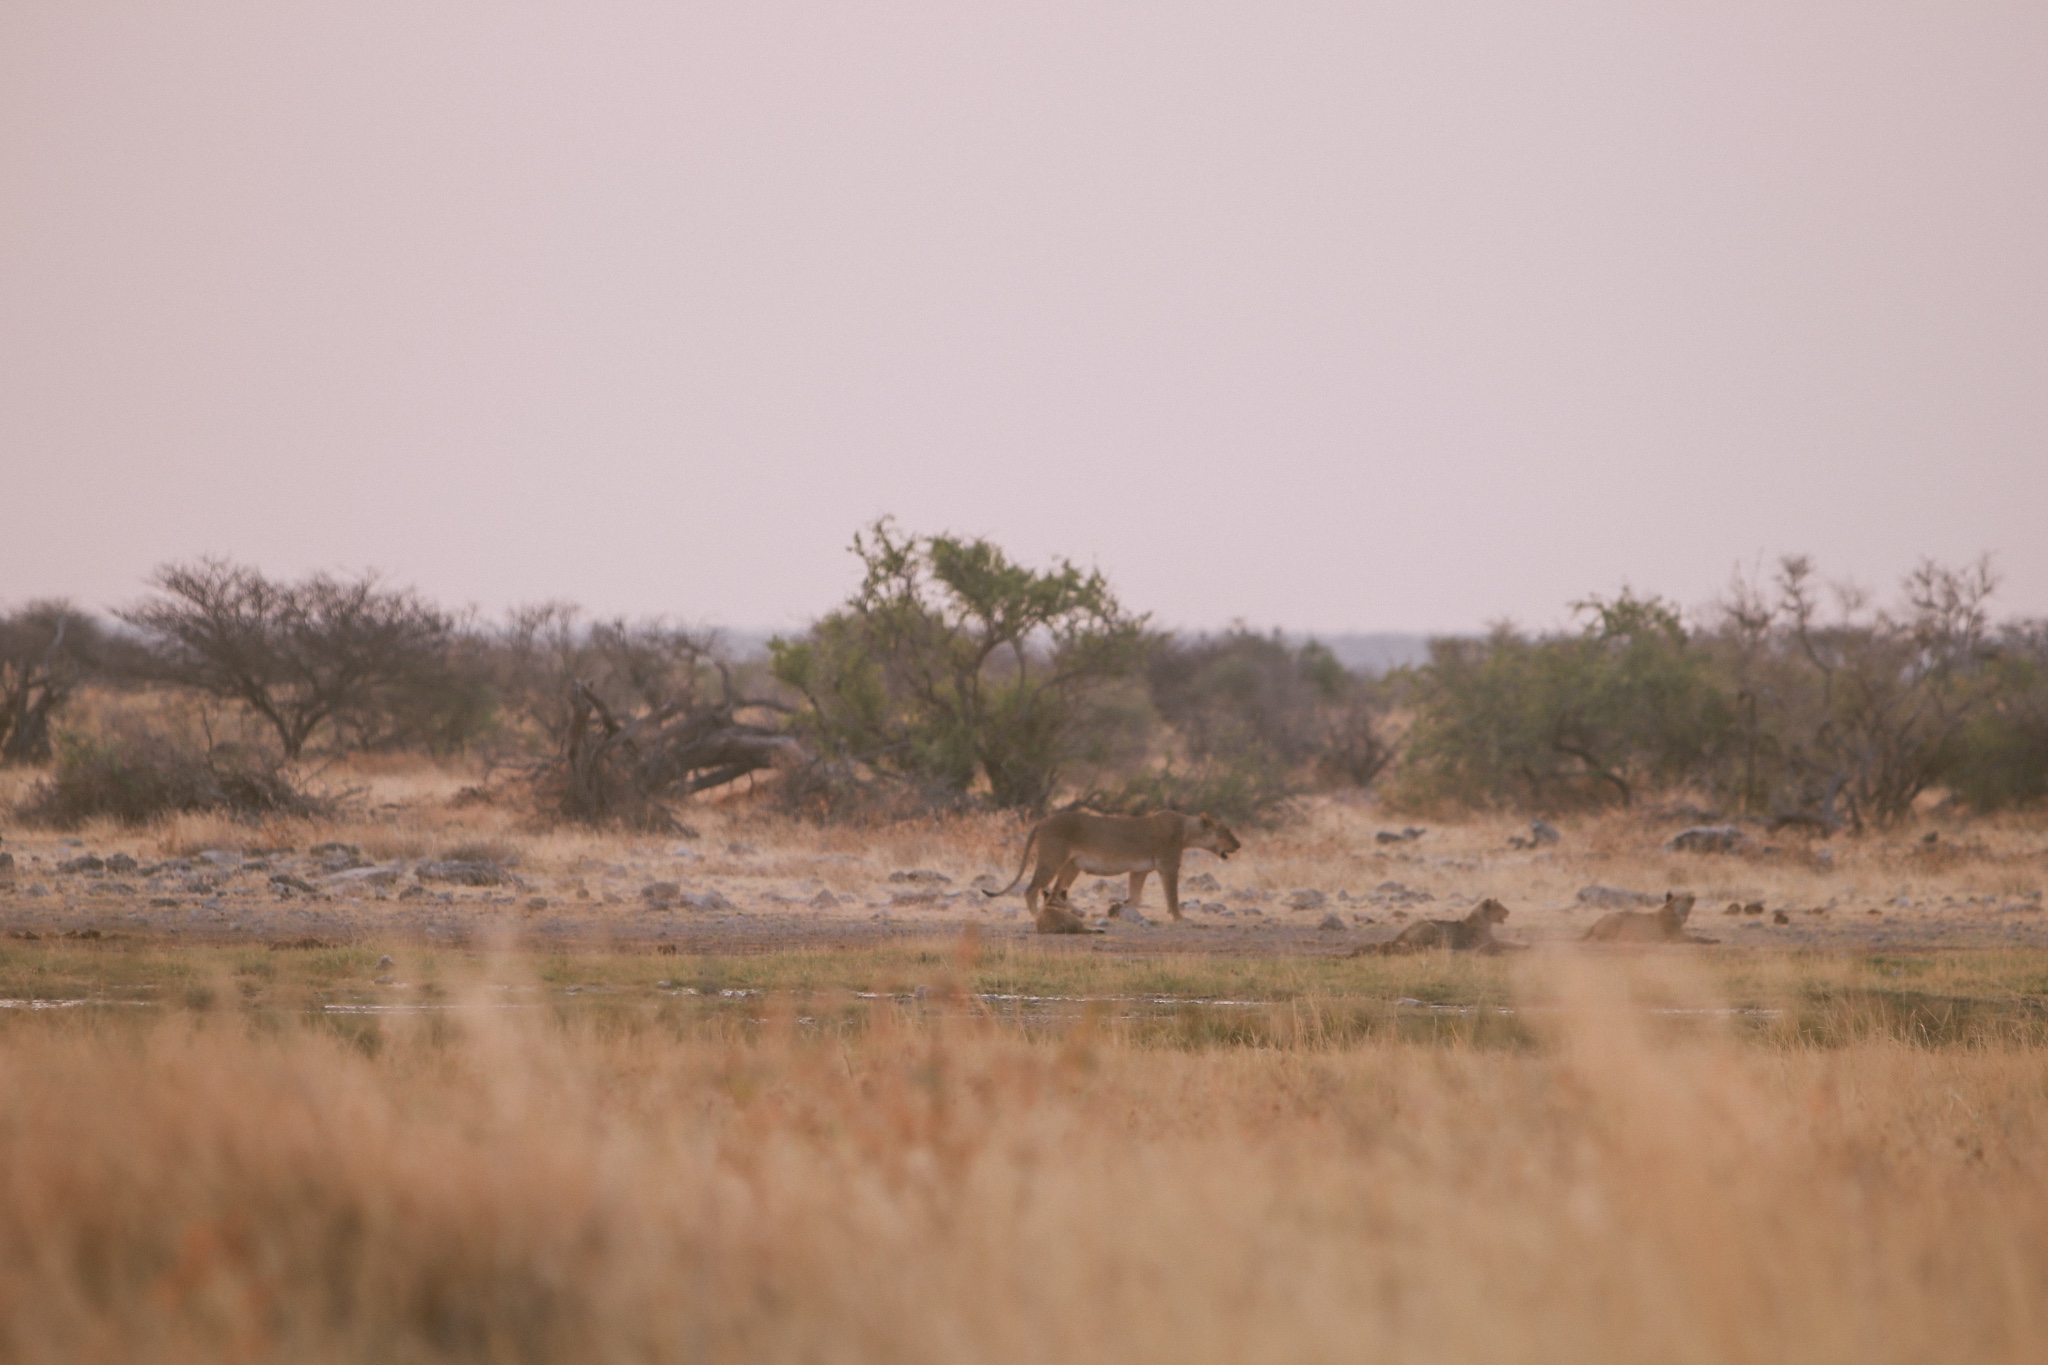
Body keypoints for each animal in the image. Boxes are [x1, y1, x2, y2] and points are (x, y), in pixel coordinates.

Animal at [983, 806, 1236, 933]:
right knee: (1032, 890)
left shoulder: (1139, 870)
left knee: (1056, 893)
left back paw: (1077, 912)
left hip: (1073, 864)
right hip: (1051, 860)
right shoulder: (1168, 866)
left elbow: (1135, 897)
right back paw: (1037, 916)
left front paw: (1119, 910)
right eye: (1227, 831)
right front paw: (1180, 918)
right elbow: (1172, 897)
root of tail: (1041, 821)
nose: (1239, 844)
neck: (1186, 832)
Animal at [1359, 900, 1523, 957]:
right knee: (1417, 948)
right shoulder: (1488, 942)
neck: (1485, 920)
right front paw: (1524, 946)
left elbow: (1506, 942)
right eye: (1499, 907)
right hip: (1431, 927)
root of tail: (1403, 932)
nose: (1508, 911)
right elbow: (1506, 942)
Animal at [1581, 892, 1712, 945]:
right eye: (1682, 897)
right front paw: (1712, 940)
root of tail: (1595, 923)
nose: (1693, 897)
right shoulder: (1677, 936)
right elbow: (1698, 938)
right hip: (1615, 920)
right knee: (1601, 939)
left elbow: (1698, 937)